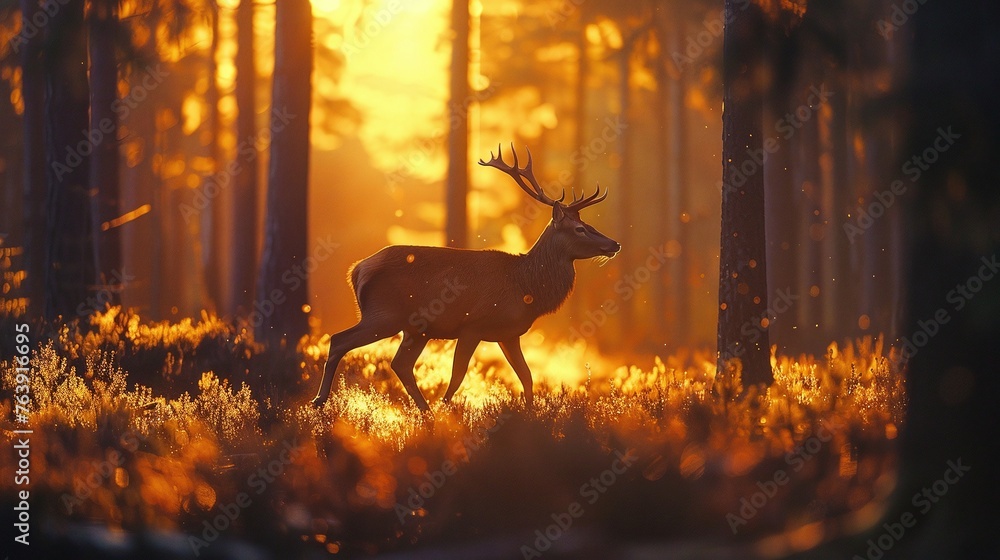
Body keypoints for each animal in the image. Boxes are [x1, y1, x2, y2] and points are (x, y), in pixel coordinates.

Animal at [310, 144, 620, 411]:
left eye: (587, 224)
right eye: (579, 229)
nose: (614, 244)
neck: (527, 287)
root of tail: (356, 270)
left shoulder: (509, 333)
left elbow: (527, 377)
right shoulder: (473, 325)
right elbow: (458, 375)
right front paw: (448, 412)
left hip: (416, 329)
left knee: (400, 364)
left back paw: (425, 413)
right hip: (384, 314)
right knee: (339, 340)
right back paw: (319, 401)